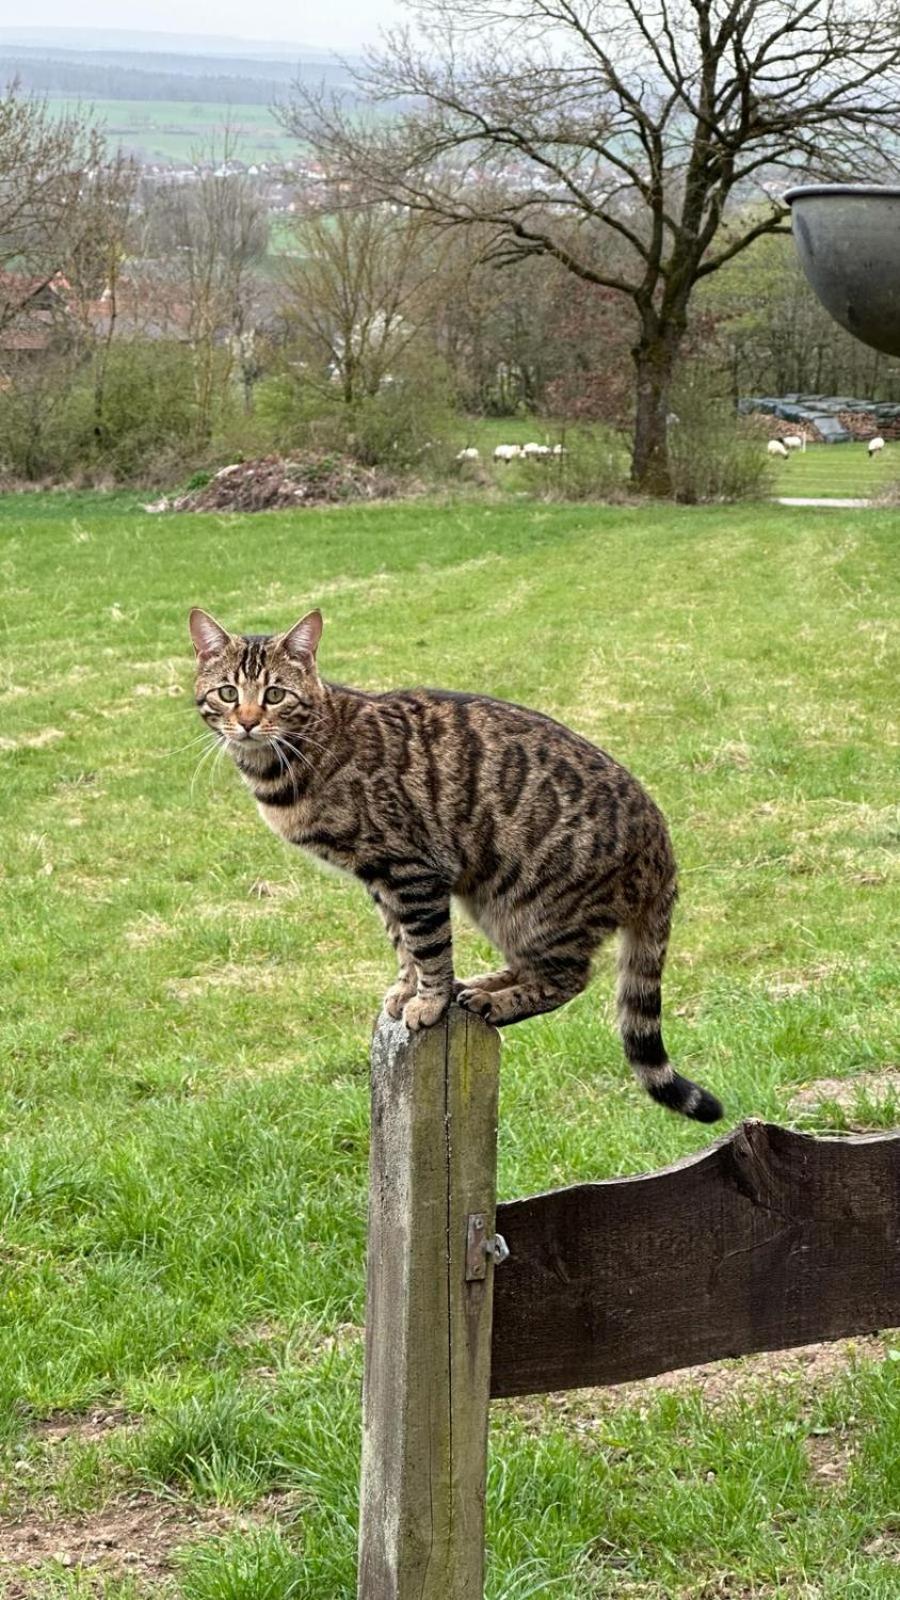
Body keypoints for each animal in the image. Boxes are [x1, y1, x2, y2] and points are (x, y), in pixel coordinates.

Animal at [190, 601, 720, 1126]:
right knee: (535, 968)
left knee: (569, 978)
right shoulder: (380, 878)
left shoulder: (412, 870)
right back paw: (483, 984)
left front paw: (428, 1002)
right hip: (495, 906)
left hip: (533, 908)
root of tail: (664, 853)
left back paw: (492, 1001)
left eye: (275, 694)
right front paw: (408, 989)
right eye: (228, 692)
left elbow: (427, 945)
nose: (248, 721)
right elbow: (402, 942)